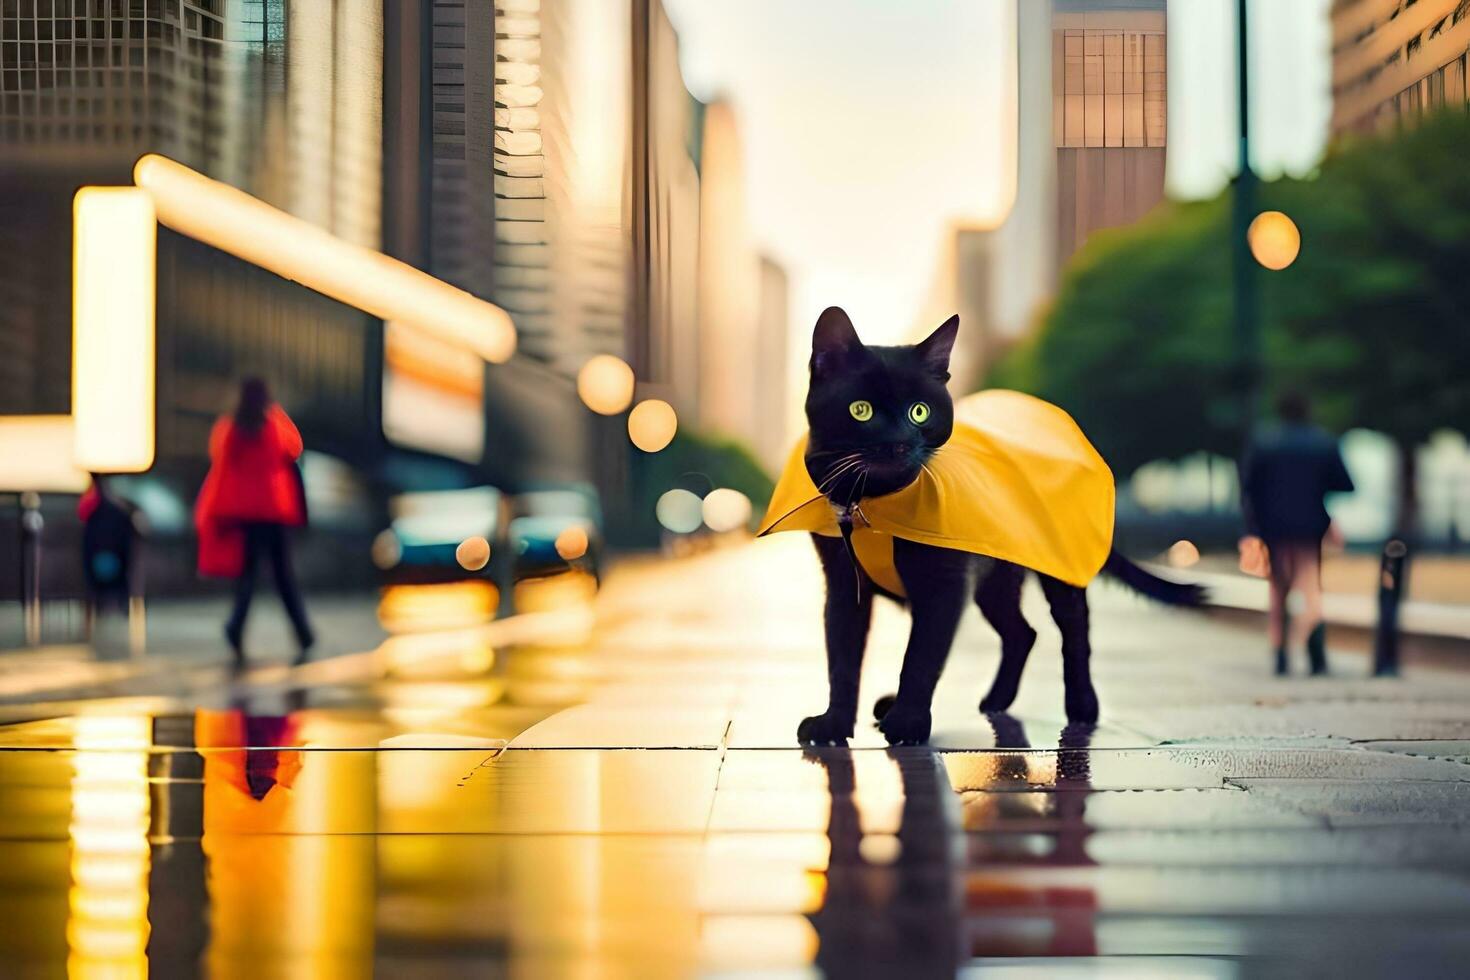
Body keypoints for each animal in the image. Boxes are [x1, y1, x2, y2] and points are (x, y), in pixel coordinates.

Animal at [793, 307, 1193, 743]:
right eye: (860, 410)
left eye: (920, 411)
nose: (898, 442)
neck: (878, 504)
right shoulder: (842, 583)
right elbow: (842, 658)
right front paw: (834, 723)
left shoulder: (945, 584)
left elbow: (922, 656)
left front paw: (908, 723)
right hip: (995, 579)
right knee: (1022, 632)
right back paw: (996, 701)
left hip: (1056, 566)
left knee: (1074, 629)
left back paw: (1082, 707)